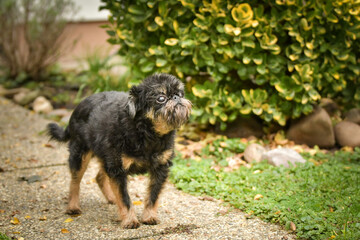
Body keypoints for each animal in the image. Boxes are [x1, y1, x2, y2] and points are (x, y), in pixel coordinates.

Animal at [49, 73, 193, 229]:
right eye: (161, 98)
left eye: (180, 93)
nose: (176, 97)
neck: (147, 133)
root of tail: (77, 108)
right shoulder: (117, 169)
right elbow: (125, 198)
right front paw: (130, 220)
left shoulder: (160, 168)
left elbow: (153, 196)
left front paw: (149, 217)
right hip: (80, 154)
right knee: (75, 181)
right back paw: (73, 206)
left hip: (105, 157)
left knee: (100, 177)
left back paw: (112, 198)